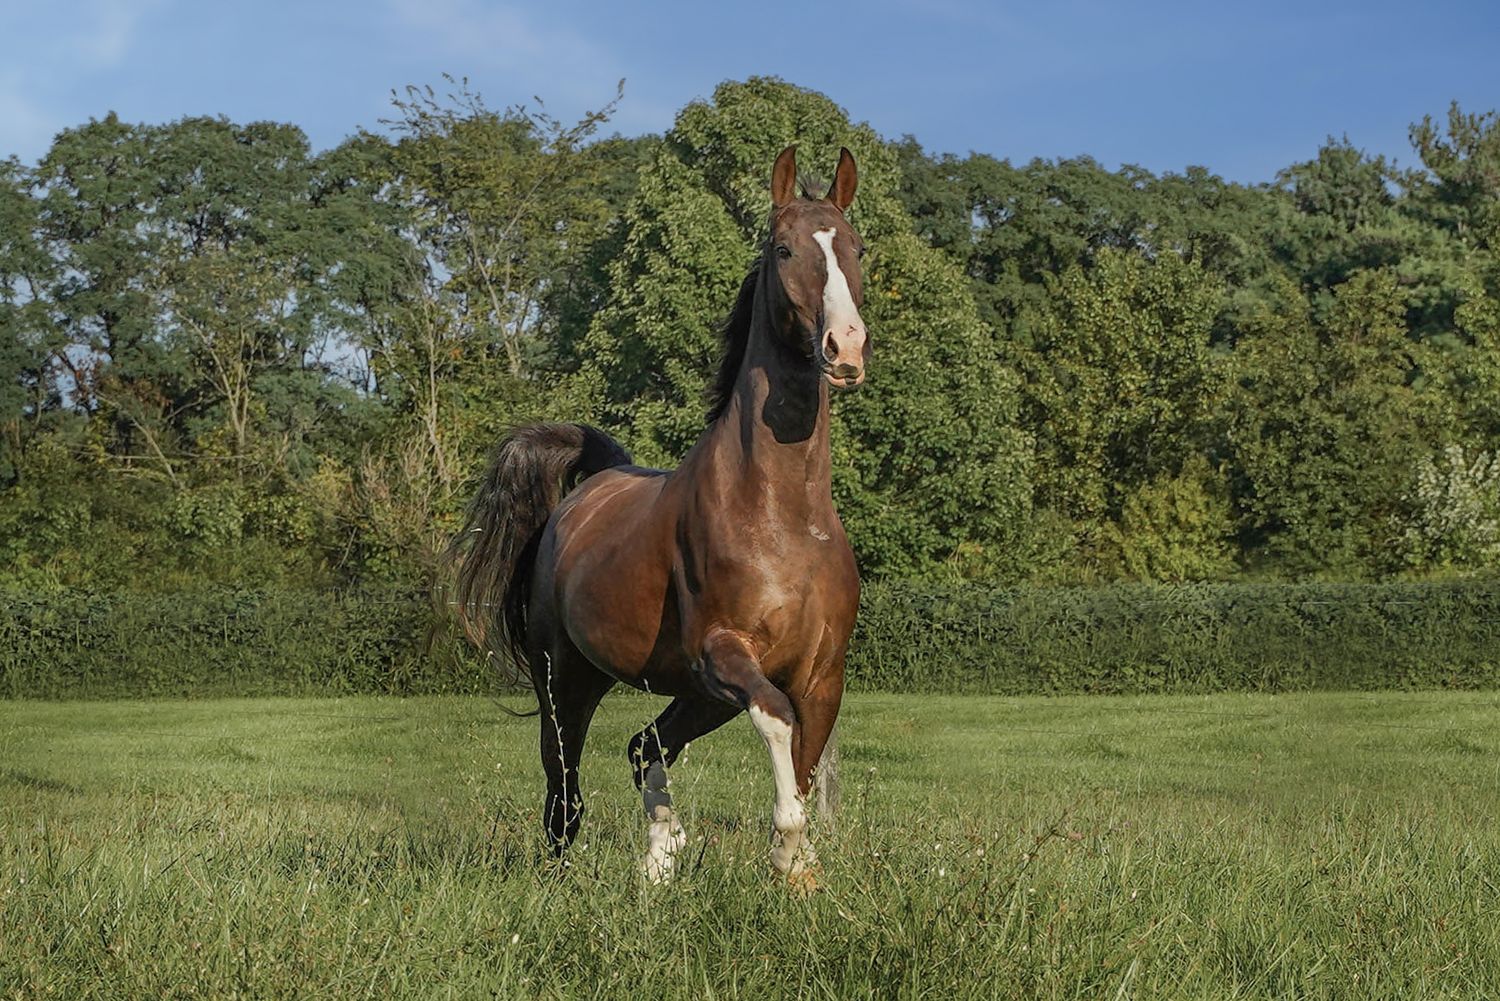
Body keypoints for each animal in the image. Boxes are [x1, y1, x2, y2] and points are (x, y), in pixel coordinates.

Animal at [449, 145, 869, 887]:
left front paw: (800, 874)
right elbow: (778, 724)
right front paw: (787, 848)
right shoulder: (723, 655)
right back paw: (568, 877)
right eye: (784, 248)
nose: (845, 349)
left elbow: (805, 762)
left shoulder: (823, 676)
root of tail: (592, 485)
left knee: (644, 747)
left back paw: (660, 864)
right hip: (569, 680)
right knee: (565, 790)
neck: (781, 513)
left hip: (688, 695)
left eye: (857, 248)